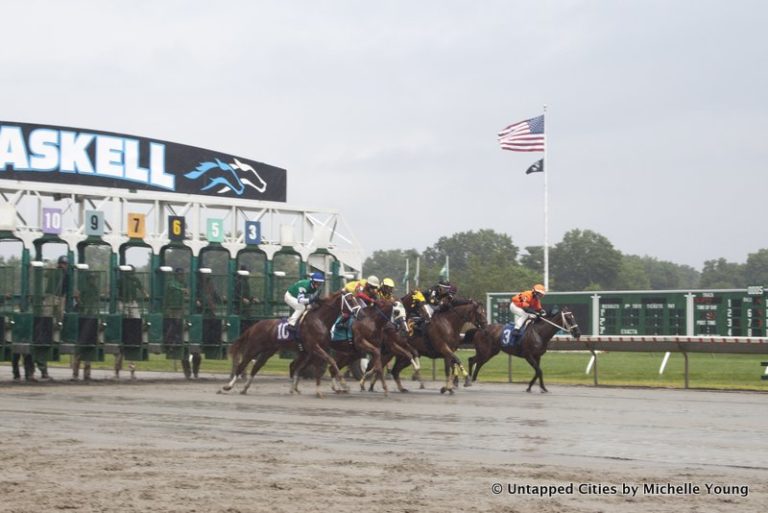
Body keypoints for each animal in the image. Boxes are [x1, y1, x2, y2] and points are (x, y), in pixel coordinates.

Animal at [220, 288, 350, 396]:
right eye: (350, 299)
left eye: (353, 298)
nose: (354, 311)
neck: (319, 320)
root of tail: (255, 326)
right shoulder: (314, 347)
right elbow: (331, 361)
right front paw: (343, 384)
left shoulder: (319, 349)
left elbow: (323, 365)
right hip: (253, 348)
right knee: (242, 365)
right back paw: (228, 386)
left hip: (268, 351)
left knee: (257, 366)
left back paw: (245, 388)